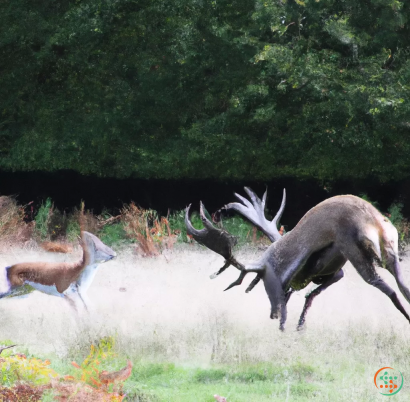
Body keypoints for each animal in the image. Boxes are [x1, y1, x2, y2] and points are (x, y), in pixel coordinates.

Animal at [187, 188, 410, 330]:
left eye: (264, 282)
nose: (272, 314)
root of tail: (375, 224)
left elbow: (291, 299)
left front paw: (285, 325)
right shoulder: (333, 271)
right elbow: (308, 295)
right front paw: (300, 325)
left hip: (353, 250)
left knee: (387, 288)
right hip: (389, 249)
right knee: (402, 286)